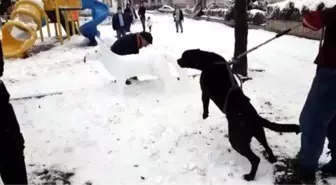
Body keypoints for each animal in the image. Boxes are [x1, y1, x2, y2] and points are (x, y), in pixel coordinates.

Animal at [177, 48, 300, 181]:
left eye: (183, 56)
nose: (177, 60)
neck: (209, 61)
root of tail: (255, 118)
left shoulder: (204, 92)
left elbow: (205, 104)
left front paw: (205, 115)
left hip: (237, 141)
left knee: (255, 159)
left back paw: (250, 176)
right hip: (259, 134)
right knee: (268, 147)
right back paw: (272, 160)